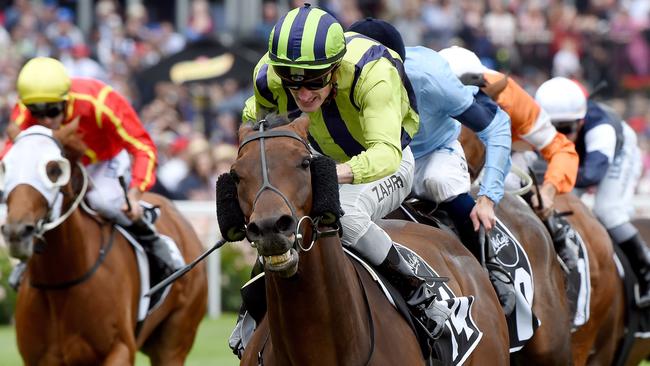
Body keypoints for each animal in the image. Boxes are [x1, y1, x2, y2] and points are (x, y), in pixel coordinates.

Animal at [1, 123, 205, 366]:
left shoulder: (120, 349)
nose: (16, 232)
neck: (60, 283)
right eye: (5, 167)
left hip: (174, 341)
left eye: (54, 170)